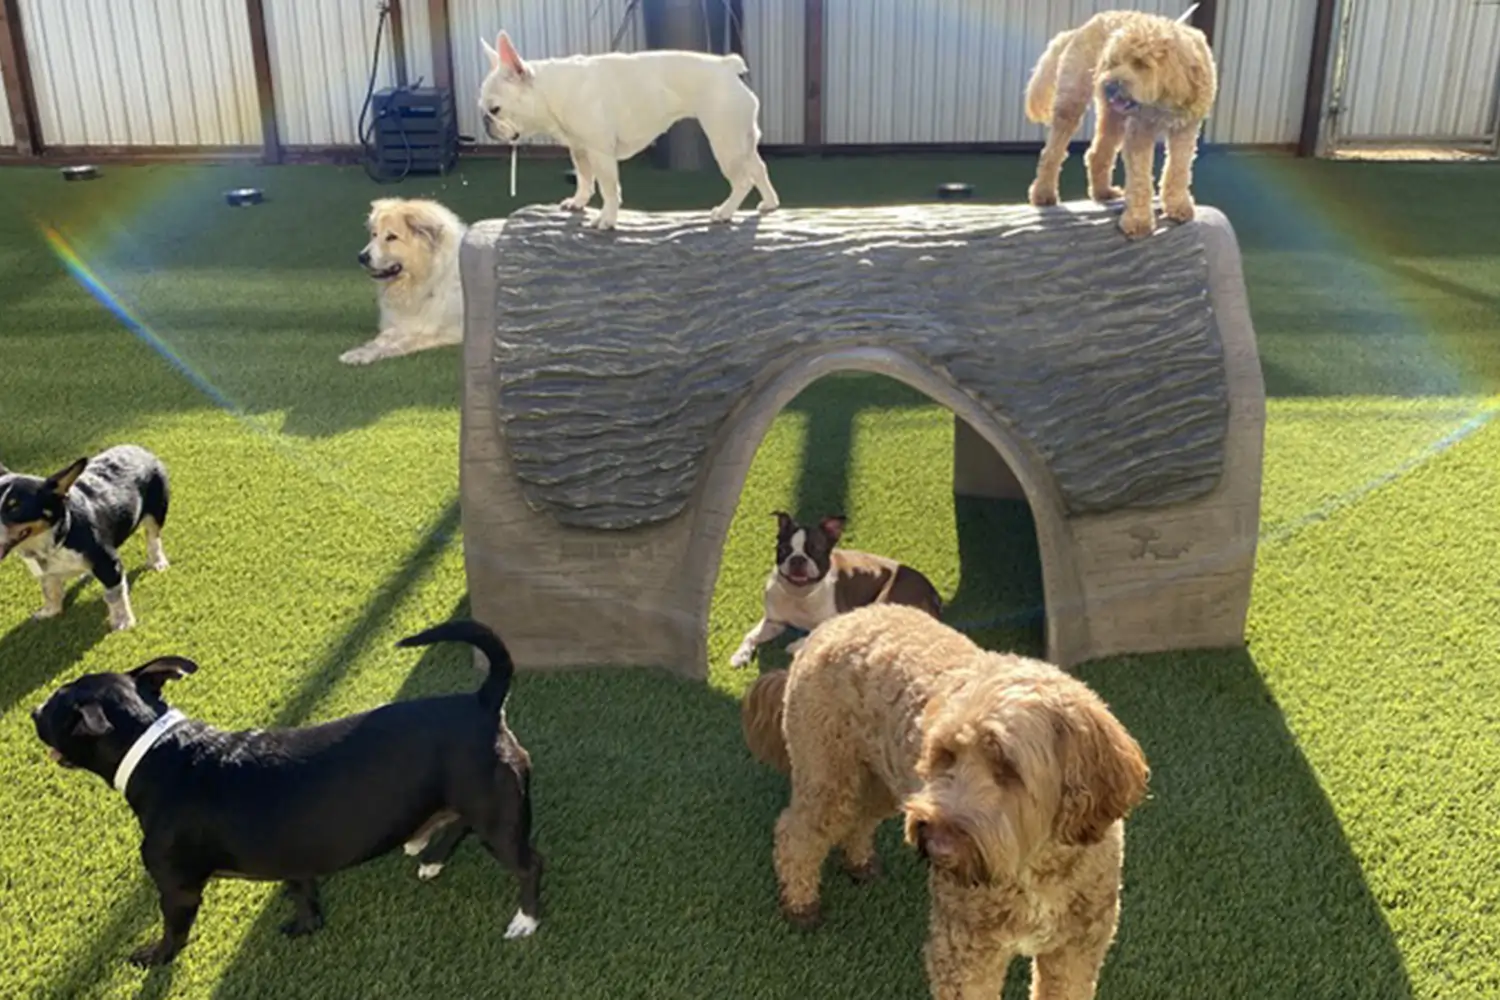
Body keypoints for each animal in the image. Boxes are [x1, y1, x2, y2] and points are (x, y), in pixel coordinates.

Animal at [29, 620, 543, 965]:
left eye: (54, 707)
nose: (32, 710)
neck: (161, 750)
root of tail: (483, 703)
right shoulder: (295, 857)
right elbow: (304, 894)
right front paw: (305, 926)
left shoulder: (177, 889)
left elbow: (173, 935)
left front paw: (153, 957)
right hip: (474, 803)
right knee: (457, 825)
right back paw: (430, 856)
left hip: (499, 820)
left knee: (530, 864)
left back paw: (526, 920)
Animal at [747, 605, 1146, 1000]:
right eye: (945, 754)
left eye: (1007, 767)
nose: (937, 841)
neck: (1032, 868)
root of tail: (835, 621)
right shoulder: (964, 953)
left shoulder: (1075, 951)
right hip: (828, 775)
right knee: (795, 832)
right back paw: (800, 903)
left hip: (881, 782)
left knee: (858, 819)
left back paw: (861, 863)